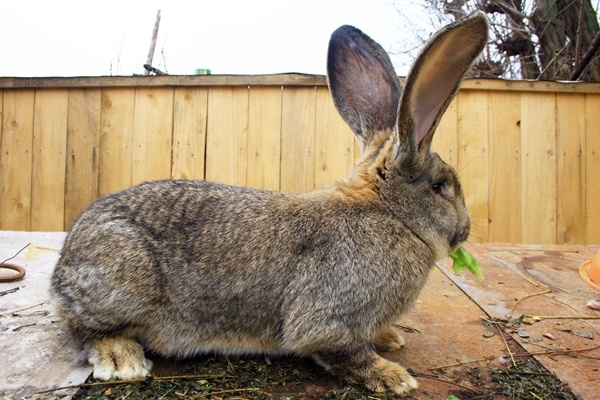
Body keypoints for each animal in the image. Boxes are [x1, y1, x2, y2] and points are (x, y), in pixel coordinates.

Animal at [52, 10, 488, 396]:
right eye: (441, 188)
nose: (465, 230)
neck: (391, 213)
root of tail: (62, 268)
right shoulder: (329, 318)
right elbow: (343, 352)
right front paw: (393, 377)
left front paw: (391, 339)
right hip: (123, 281)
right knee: (84, 328)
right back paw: (121, 358)